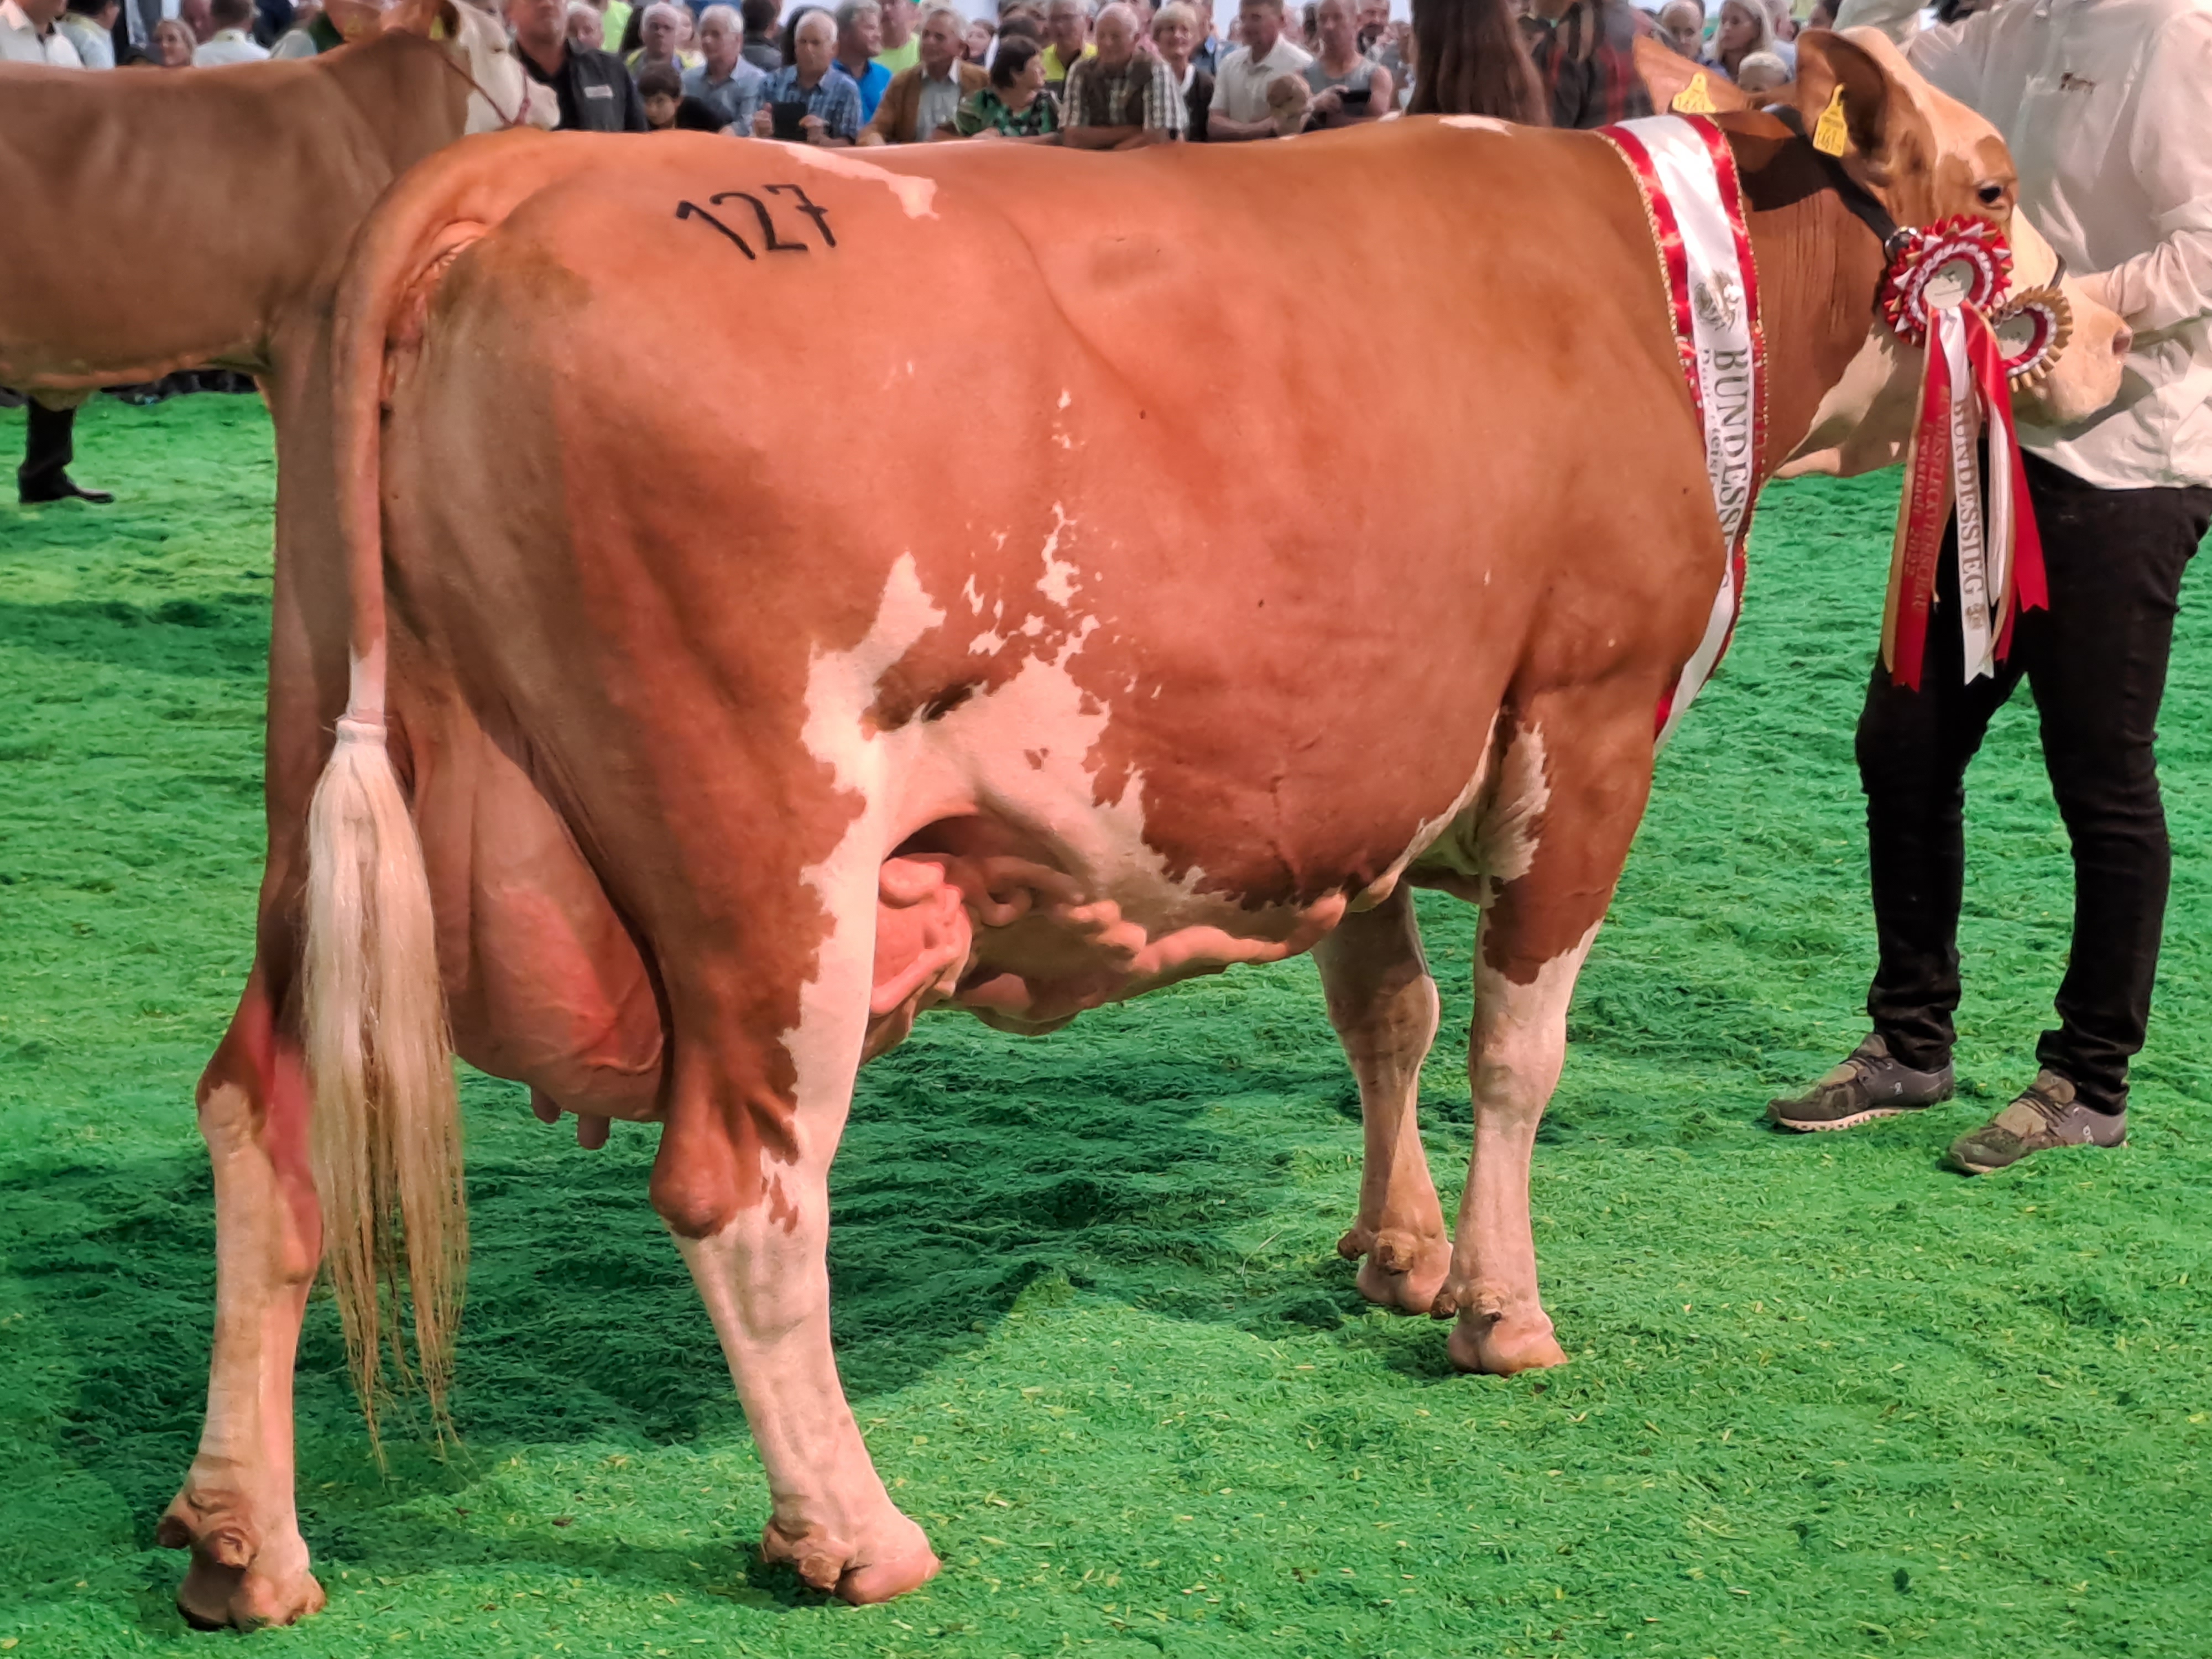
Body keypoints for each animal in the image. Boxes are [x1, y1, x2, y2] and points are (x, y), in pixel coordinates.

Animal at [156, 29, 2124, 1637]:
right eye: (1993, 188)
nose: (2101, 330)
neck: (1665, 300)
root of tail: (524, 179)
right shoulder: (1582, 716)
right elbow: (1515, 1049)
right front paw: (1498, 1308)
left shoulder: (1358, 752)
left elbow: (1387, 1014)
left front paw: (1394, 1255)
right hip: (765, 870)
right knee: (744, 1192)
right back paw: (851, 1529)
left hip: (335, 815)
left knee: (263, 1118)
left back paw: (245, 1538)